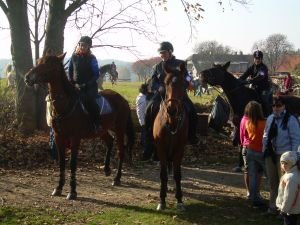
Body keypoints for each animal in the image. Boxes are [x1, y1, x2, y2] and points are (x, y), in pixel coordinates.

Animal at [24, 53, 135, 200]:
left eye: (49, 64)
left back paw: (117, 178)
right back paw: (106, 169)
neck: (65, 104)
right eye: (39, 61)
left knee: (121, 150)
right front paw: (58, 187)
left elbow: (72, 163)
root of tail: (122, 99)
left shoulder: (75, 139)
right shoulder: (59, 137)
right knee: (109, 142)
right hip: (102, 130)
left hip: (119, 129)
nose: (28, 77)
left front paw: (72, 191)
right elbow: (62, 162)